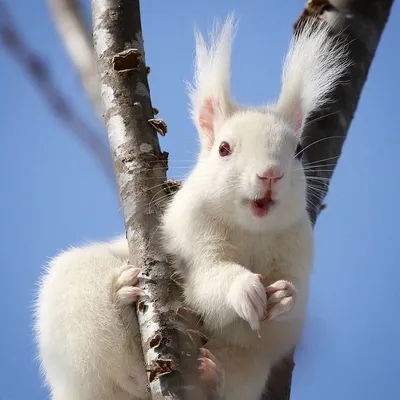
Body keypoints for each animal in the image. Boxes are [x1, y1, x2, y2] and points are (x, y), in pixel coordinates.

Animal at [34, 13, 348, 400]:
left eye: (299, 151)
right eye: (224, 148)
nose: (270, 174)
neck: (251, 230)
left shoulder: (298, 249)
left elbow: (288, 306)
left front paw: (284, 295)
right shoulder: (193, 235)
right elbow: (207, 281)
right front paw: (243, 288)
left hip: (248, 368)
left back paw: (211, 375)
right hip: (75, 304)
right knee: (117, 365)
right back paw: (120, 294)